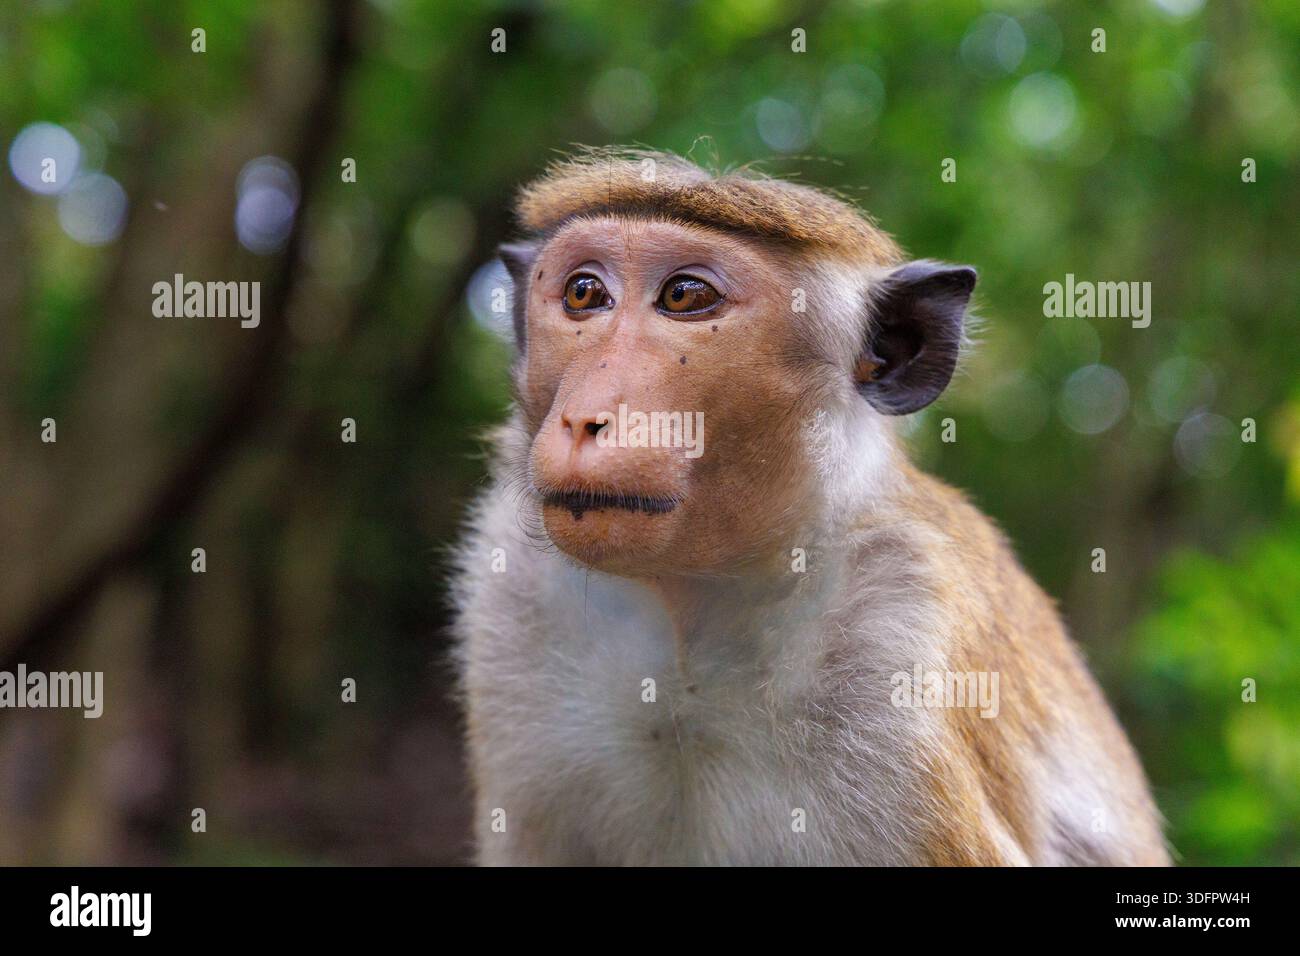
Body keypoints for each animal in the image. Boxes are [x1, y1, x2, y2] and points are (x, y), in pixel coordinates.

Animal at [451, 148, 1169, 866]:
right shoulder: (509, 601)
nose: (584, 420)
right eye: (583, 293)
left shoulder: (897, 649)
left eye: (685, 297)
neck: (689, 618)